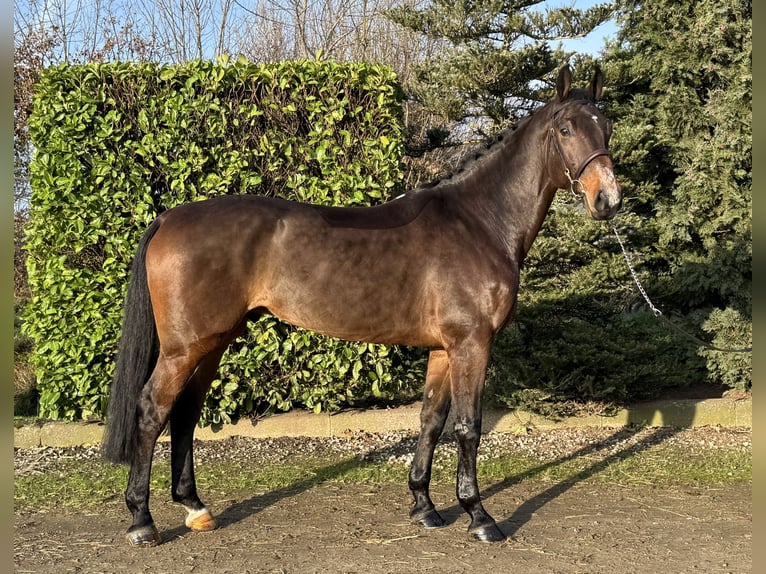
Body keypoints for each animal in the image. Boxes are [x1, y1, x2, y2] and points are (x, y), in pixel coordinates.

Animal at [102, 64, 621, 546]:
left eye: (607, 126)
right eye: (566, 128)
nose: (608, 199)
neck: (479, 222)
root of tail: (168, 218)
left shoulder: (443, 349)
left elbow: (431, 420)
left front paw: (424, 506)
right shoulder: (472, 344)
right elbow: (468, 427)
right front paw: (479, 516)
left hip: (213, 342)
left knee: (186, 412)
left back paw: (195, 508)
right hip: (184, 348)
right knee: (152, 409)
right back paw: (142, 521)